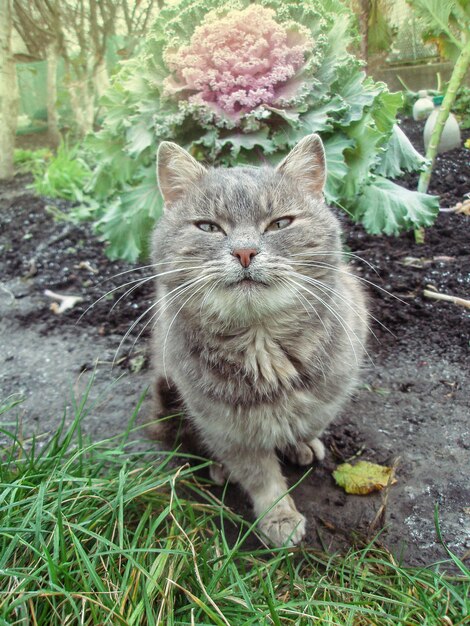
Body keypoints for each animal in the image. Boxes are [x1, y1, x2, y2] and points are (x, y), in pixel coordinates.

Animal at [149, 134, 366, 544]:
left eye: (280, 223)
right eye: (208, 227)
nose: (245, 251)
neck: (264, 346)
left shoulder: (333, 388)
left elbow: (311, 419)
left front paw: (300, 442)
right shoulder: (225, 428)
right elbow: (260, 475)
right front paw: (279, 514)